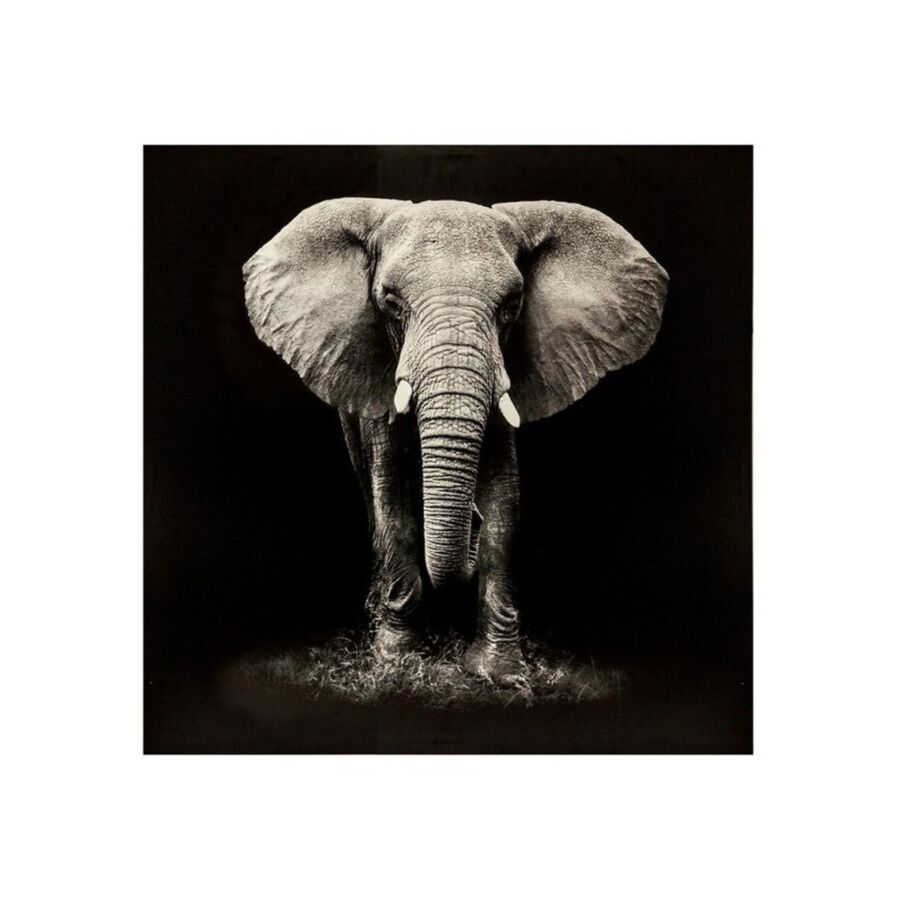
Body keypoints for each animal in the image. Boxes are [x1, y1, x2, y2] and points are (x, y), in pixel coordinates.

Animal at [243, 198, 668, 679]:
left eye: (512, 305)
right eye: (391, 303)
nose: (471, 522)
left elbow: (504, 500)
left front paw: (498, 671)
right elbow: (392, 498)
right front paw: (398, 661)